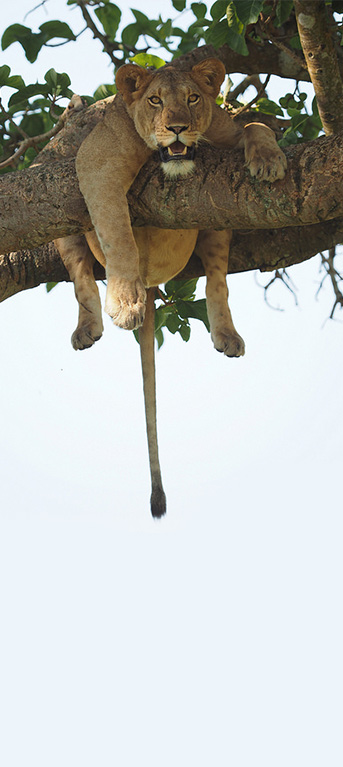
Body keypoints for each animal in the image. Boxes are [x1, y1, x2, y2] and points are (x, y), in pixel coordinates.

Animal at [55, 57, 288, 520]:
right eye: (155, 101)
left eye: (194, 98)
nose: (178, 127)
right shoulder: (96, 161)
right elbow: (118, 232)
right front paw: (126, 304)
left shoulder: (225, 132)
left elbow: (256, 125)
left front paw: (270, 160)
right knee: (80, 273)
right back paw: (89, 327)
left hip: (220, 216)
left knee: (217, 279)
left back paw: (227, 335)